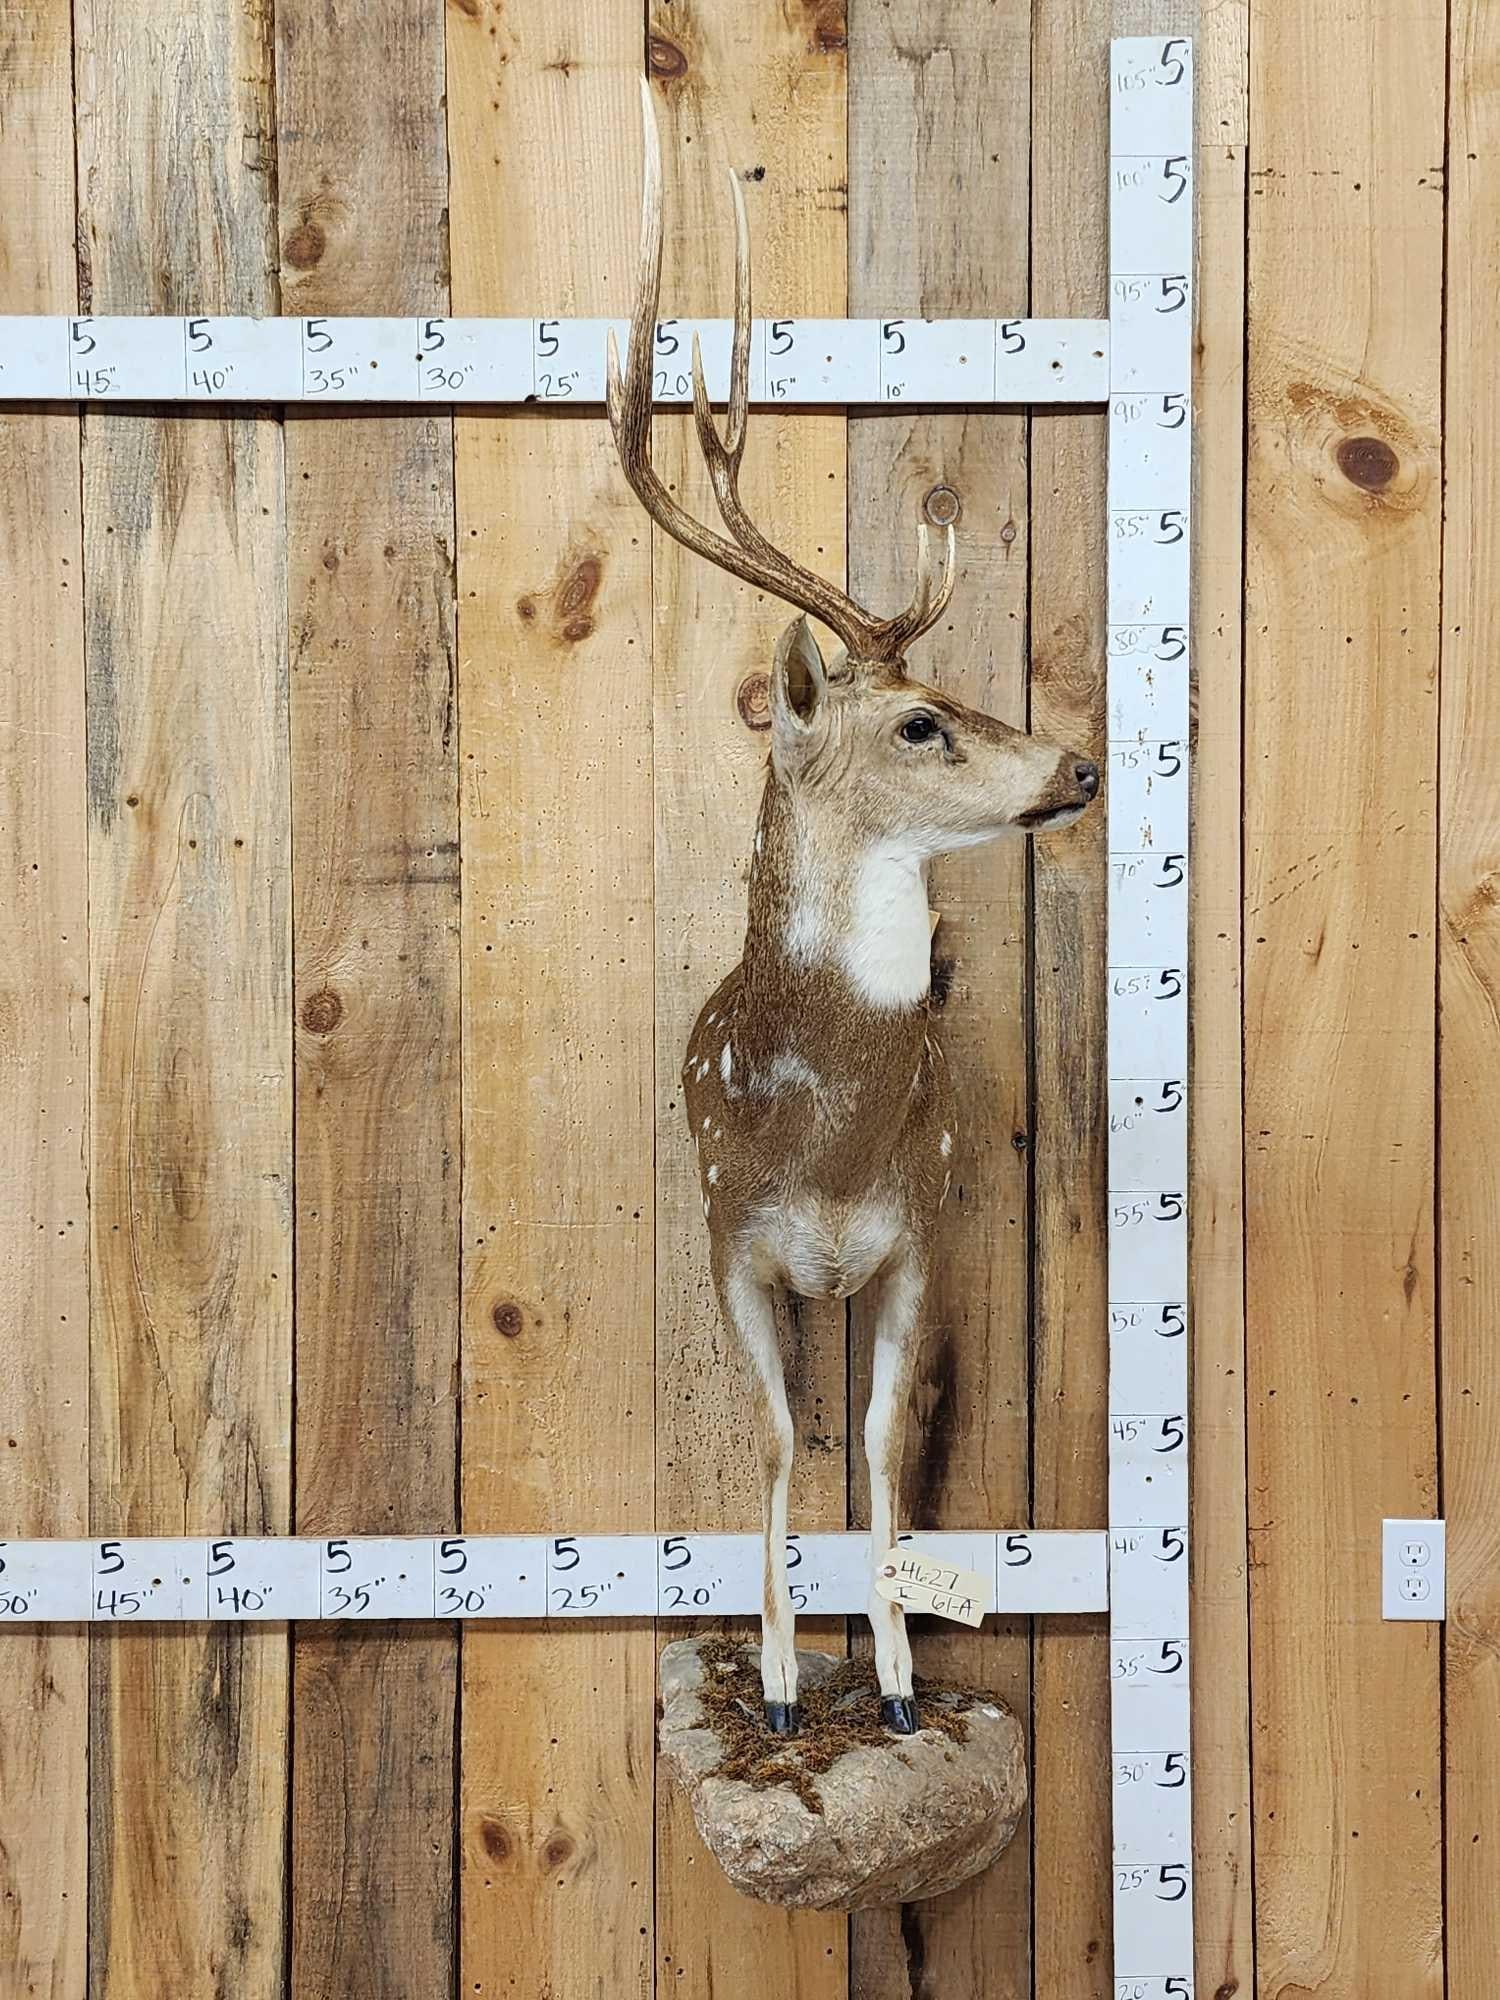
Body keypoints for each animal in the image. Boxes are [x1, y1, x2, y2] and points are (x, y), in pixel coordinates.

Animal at [607, 82, 1099, 1737]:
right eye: (921, 724)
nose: (1080, 763)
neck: (822, 1134)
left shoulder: (916, 1238)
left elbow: (882, 1447)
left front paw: (888, 1679)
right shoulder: (729, 1234)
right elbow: (774, 1444)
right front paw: (769, 1684)